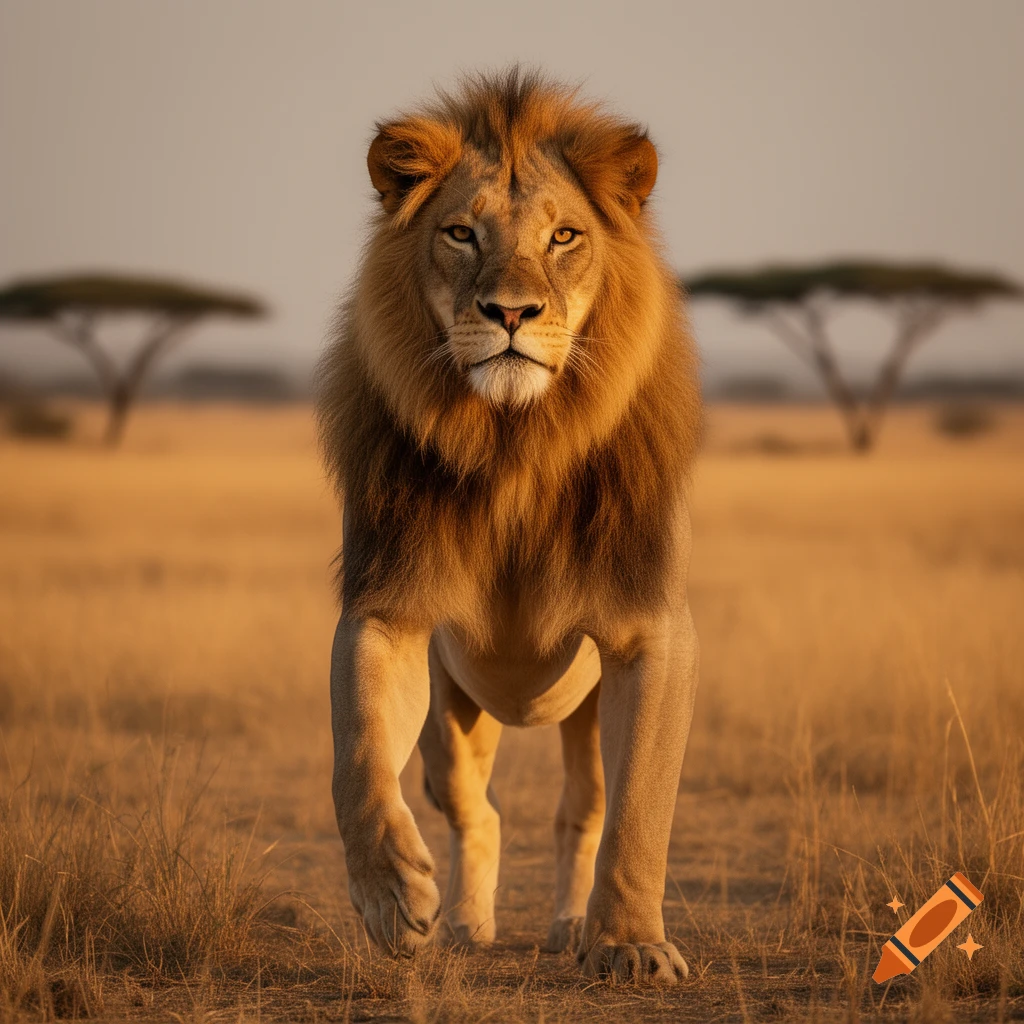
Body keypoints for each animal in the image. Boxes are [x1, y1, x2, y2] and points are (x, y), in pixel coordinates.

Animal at [316, 68, 702, 985]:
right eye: (461, 233)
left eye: (564, 236)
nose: (512, 313)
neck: (517, 442)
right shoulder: (387, 607)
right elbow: (356, 755)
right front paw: (390, 896)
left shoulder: (650, 629)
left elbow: (641, 811)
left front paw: (632, 946)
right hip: (451, 719)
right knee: (474, 809)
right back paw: (463, 923)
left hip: (587, 715)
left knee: (584, 813)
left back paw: (570, 926)